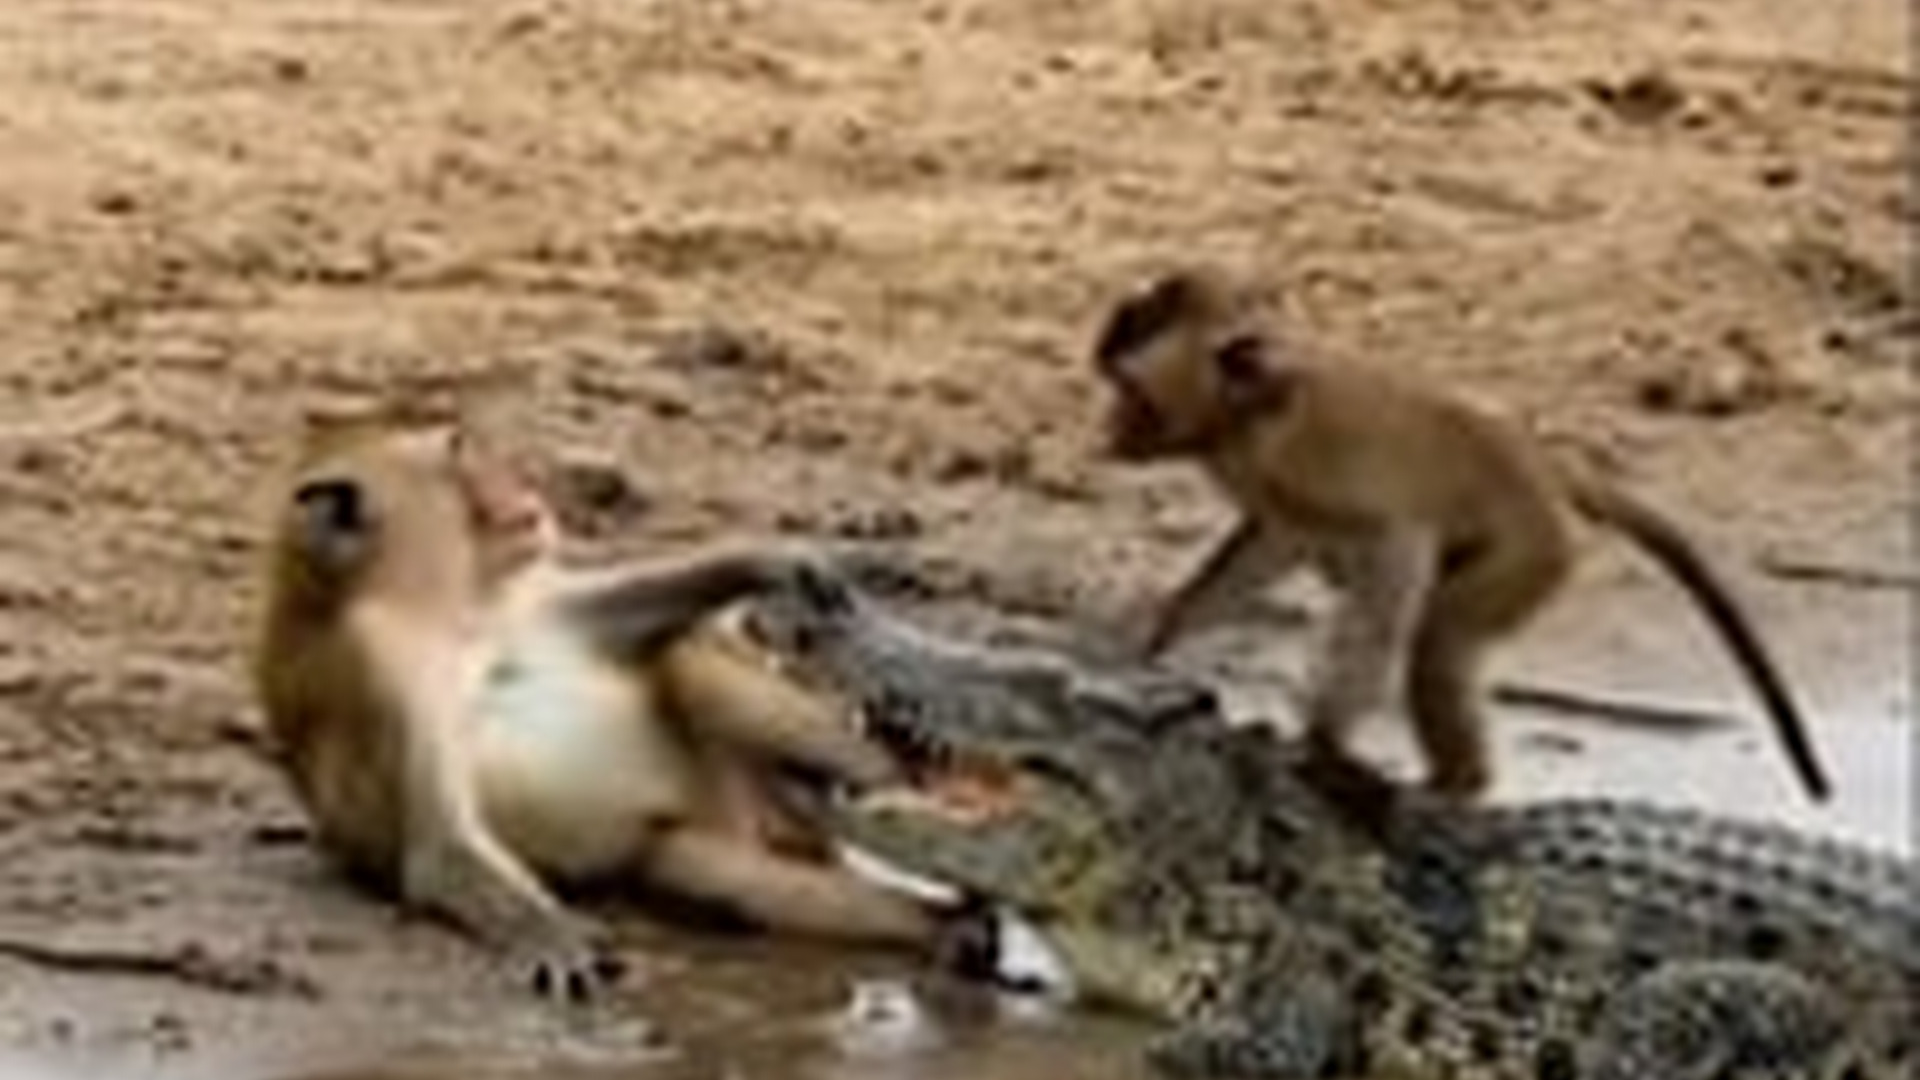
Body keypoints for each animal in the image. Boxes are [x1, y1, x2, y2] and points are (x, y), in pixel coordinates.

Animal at [251, 405, 948, 1000]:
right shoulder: (381, 683)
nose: (523, 488)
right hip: (700, 841)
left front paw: (771, 560)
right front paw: (554, 934)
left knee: (682, 653)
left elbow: (625, 617)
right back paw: (945, 919)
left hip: (750, 796)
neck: (447, 612)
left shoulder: (520, 602)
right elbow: (438, 851)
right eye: (458, 457)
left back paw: (894, 768)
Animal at [1088, 267, 1832, 805]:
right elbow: (1274, 542)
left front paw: (1326, 741)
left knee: (1438, 637)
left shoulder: (1310, 469)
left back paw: (1459, 785)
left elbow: (1395, 545)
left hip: (1535, 548)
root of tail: (1539, 461)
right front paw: (1150, 639)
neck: (1241, 411)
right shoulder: (1264, 479)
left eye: (1129, 388)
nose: (1110, 428)